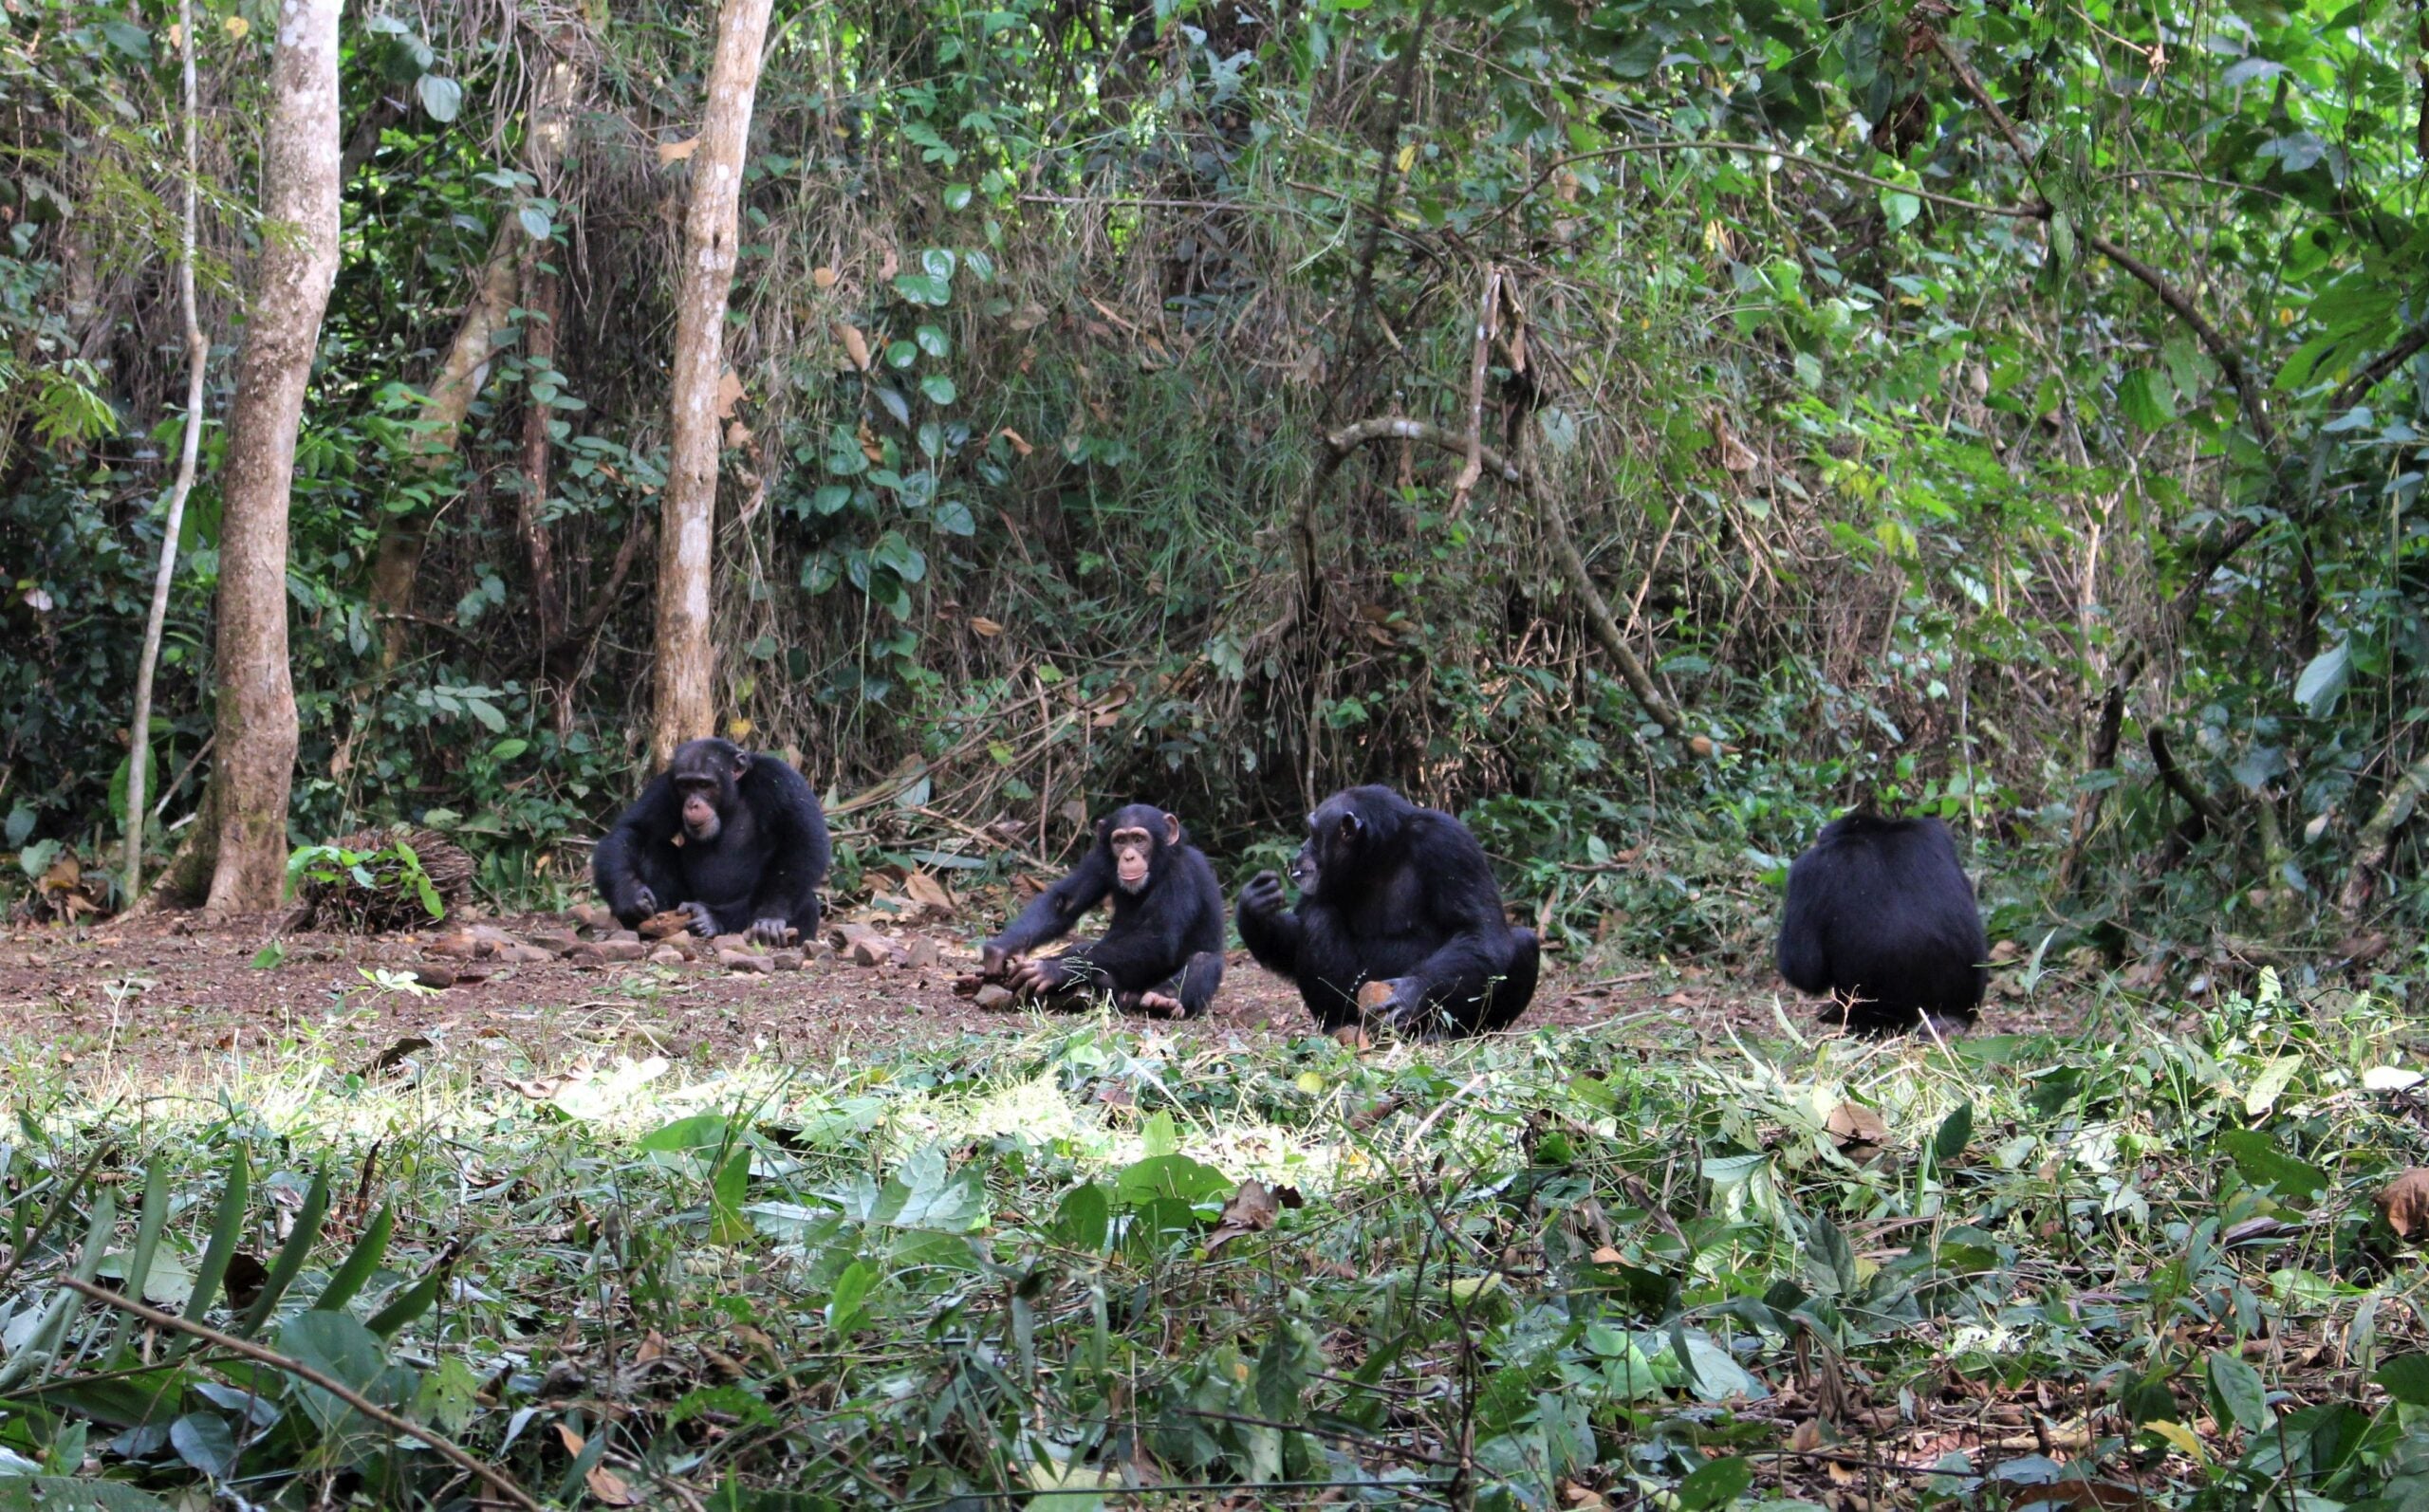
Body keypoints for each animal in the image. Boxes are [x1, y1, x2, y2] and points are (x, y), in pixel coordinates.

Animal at [592, 737, 830, 946]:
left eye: (704, 784)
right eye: (685, 785)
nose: (693, 804)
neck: (734, 795)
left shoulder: (781, 780)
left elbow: (802, 841)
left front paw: (770, 917)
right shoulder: (665, 786)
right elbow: (635, 830)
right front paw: (630, 896)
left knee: (805, 899)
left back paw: (709, 917)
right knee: (650, 849)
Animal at [976, 805, 1224, 1019]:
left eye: (1139, 840)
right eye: (1120, 841)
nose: (1129, 856)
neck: (1158, 867)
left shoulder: (1183, 874)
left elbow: (1159, 938)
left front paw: (1054, 968)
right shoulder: (1098, 860)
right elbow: (1066, 902)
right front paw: (1002, 948)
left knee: (1204, 960)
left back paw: (1163, 1001)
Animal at [1233, 781, 1534, 1039]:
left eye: (1314, 833)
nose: (1302, 847)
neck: (1378, 855)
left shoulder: (1451, 843)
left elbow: (1479, 930)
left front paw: (1412, 991)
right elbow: (1295, 934)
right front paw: (1253, 909)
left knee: (1523, 941)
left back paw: (1450, 1034)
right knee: (1318, 917)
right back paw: (1339, 1026)